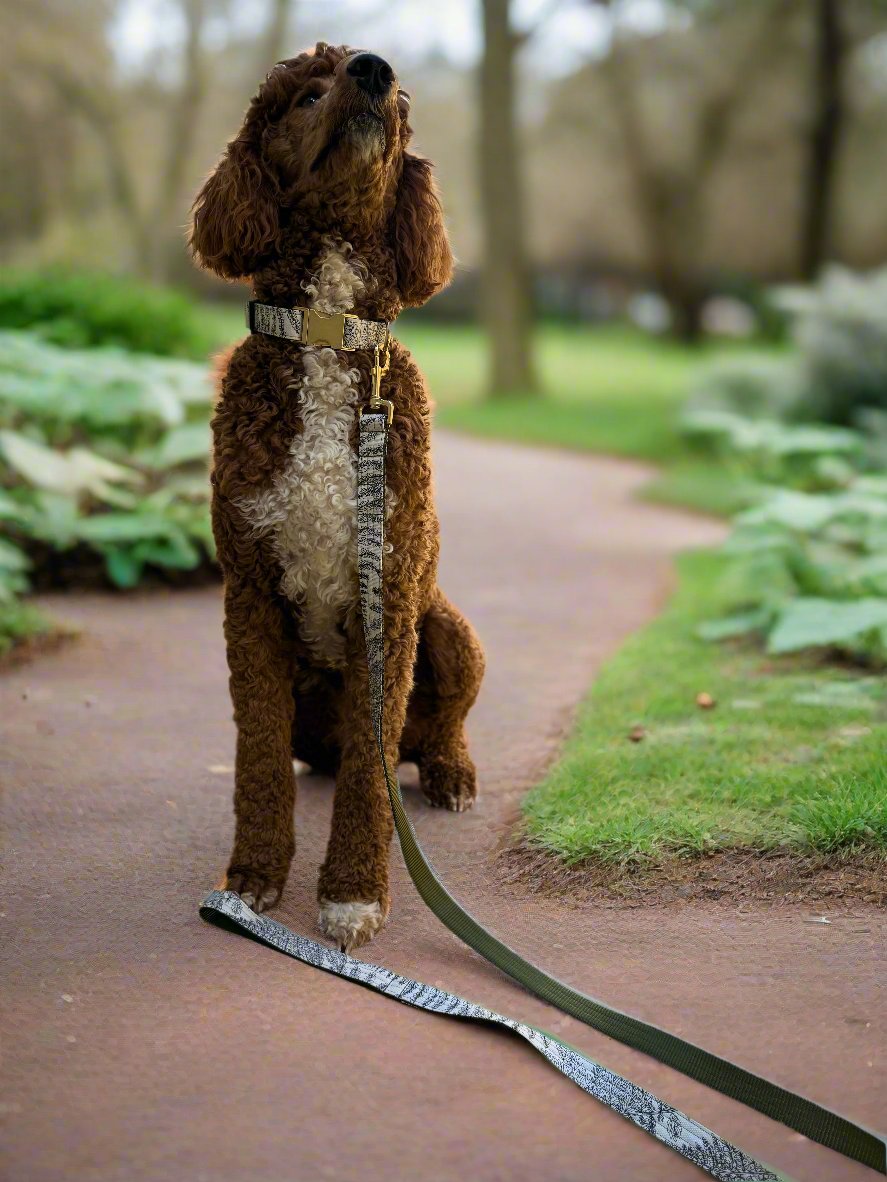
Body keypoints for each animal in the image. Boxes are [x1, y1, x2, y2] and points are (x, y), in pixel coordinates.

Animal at [191, 41, 489, 955]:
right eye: (304, 94)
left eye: (402, 102)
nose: (372, 68)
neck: (326, 330)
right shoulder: (249, 597)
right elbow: (256, 761)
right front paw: (253, 877)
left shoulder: (387, 597)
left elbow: (367, 775)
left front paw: (353, 894)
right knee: (331, 752)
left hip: (447, 629)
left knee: (430, 732)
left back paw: (449, 772)